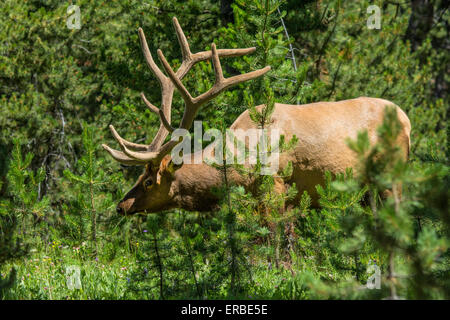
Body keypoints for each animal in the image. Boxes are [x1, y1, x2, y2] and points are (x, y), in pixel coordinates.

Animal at [103, 16, 412, 214]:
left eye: (148, 181)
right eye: (138, 177)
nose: (120, 206)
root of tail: (407, 120)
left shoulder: (275, 189)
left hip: (391, 174)